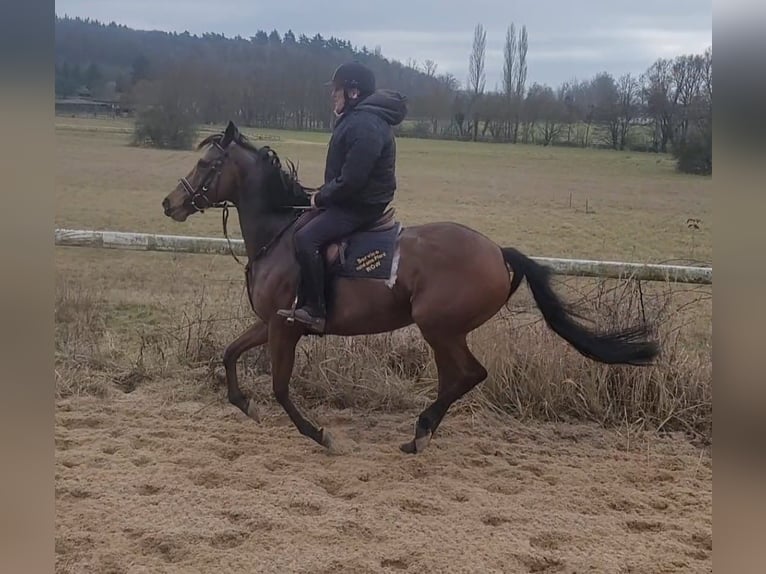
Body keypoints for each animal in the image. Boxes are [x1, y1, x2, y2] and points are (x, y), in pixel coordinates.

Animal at [161, 121, 659, 454]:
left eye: (206, 163)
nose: (171, 203)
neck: (279, 236)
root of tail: (497, 251)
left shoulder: (285, 328)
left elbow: (282, 388)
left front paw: (320, 434)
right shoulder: (270, 323)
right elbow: (229, 354)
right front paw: (245, 404)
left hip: (438, 327)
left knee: (469, 375)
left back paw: (421, 430)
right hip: (443, 332)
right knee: (456, 378)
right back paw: (424, 430)